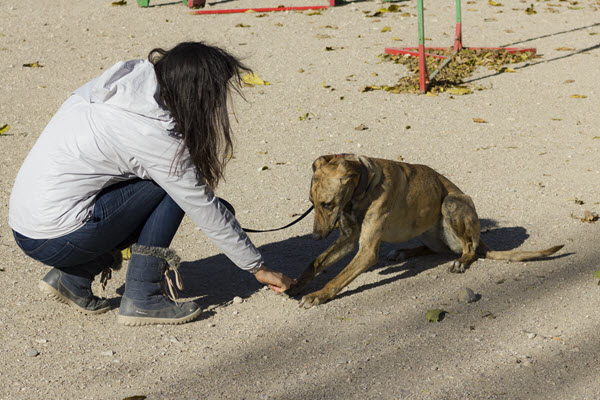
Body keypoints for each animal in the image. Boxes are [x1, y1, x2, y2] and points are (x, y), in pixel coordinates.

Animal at [286, 155, 564, 308]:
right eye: (311, 203)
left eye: (327, 204)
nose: (316, 236)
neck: (362, 188)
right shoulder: (347, 240)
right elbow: (315, 262)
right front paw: (297, 285)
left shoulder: (366, 251)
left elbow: (338, 278)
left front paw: (318, 295)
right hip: (426, 228)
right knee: (436, 249)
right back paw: (404, 252)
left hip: (452, 203)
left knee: (470, 249)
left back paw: (461, 261)